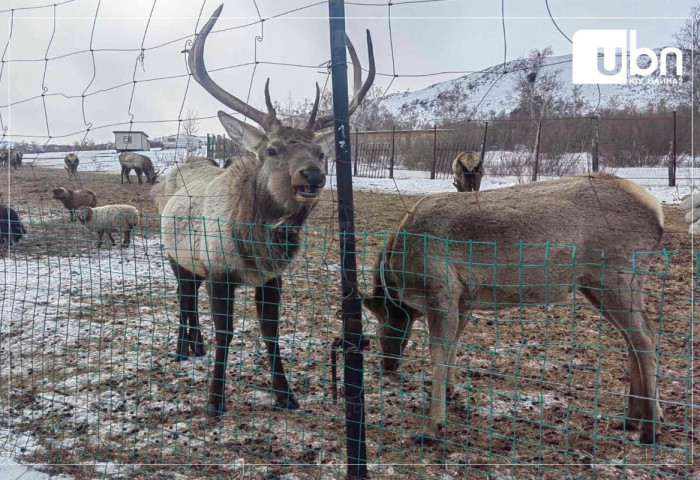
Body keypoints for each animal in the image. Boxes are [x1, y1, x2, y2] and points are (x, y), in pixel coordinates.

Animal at [151, 3, 374, 416]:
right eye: (272, 149)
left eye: (320, 152)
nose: (312, 175)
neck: (255, 247)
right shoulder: (219, 269)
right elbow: (226, 333)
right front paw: (215, 400)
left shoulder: (272, 276)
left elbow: (271, 332)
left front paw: (285, 395)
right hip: (175, 255)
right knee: (183, 296)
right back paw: (181, 350)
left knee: (189, 296)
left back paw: (194, 346)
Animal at [364, 173, 664, 446]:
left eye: (383, 323)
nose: (388, 365)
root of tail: (658, 212)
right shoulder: (464, 299)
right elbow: (454, 345)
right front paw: (449, 391)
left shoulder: (441, 289)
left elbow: (438, 351)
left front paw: (431, 427)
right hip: (595, 285)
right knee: (632, 339)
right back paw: (633, 416)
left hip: (617, 276)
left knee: (645, 337)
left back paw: (650, 428)